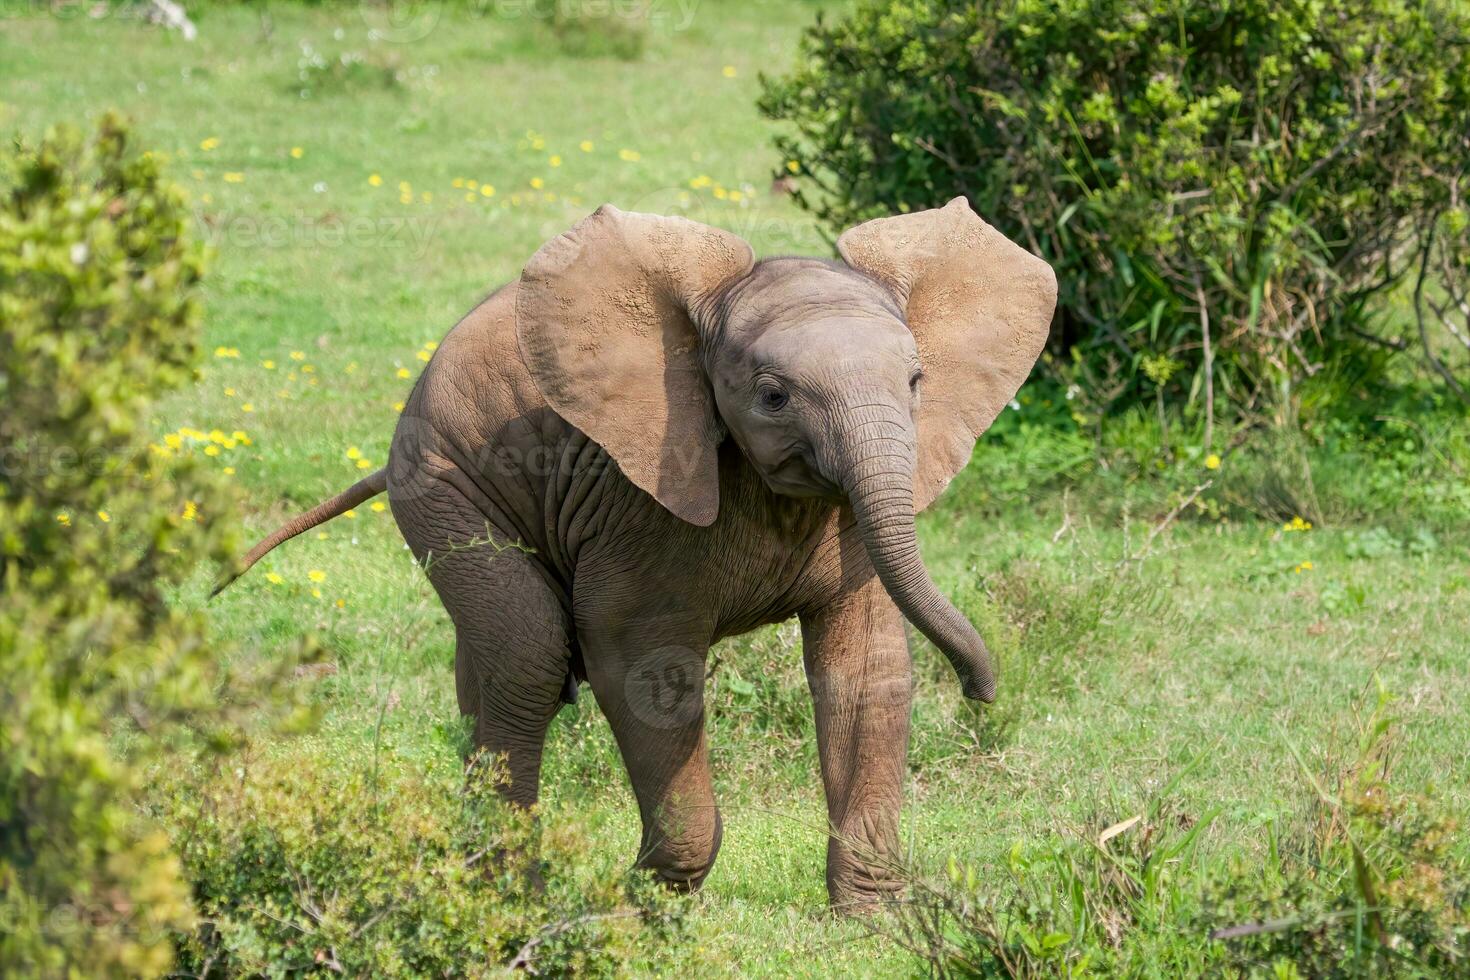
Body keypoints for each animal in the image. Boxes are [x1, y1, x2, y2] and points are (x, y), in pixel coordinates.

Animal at [220, 199, 1058, 910]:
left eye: (917, 381)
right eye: (773, 396)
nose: (982, 693)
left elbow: (864, 666)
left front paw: (869, 921)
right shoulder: (641, 494)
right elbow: (643, 666)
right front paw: (641, 903)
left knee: (488, 665)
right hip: (439, 480)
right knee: (528, 651)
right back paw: (514, 900)